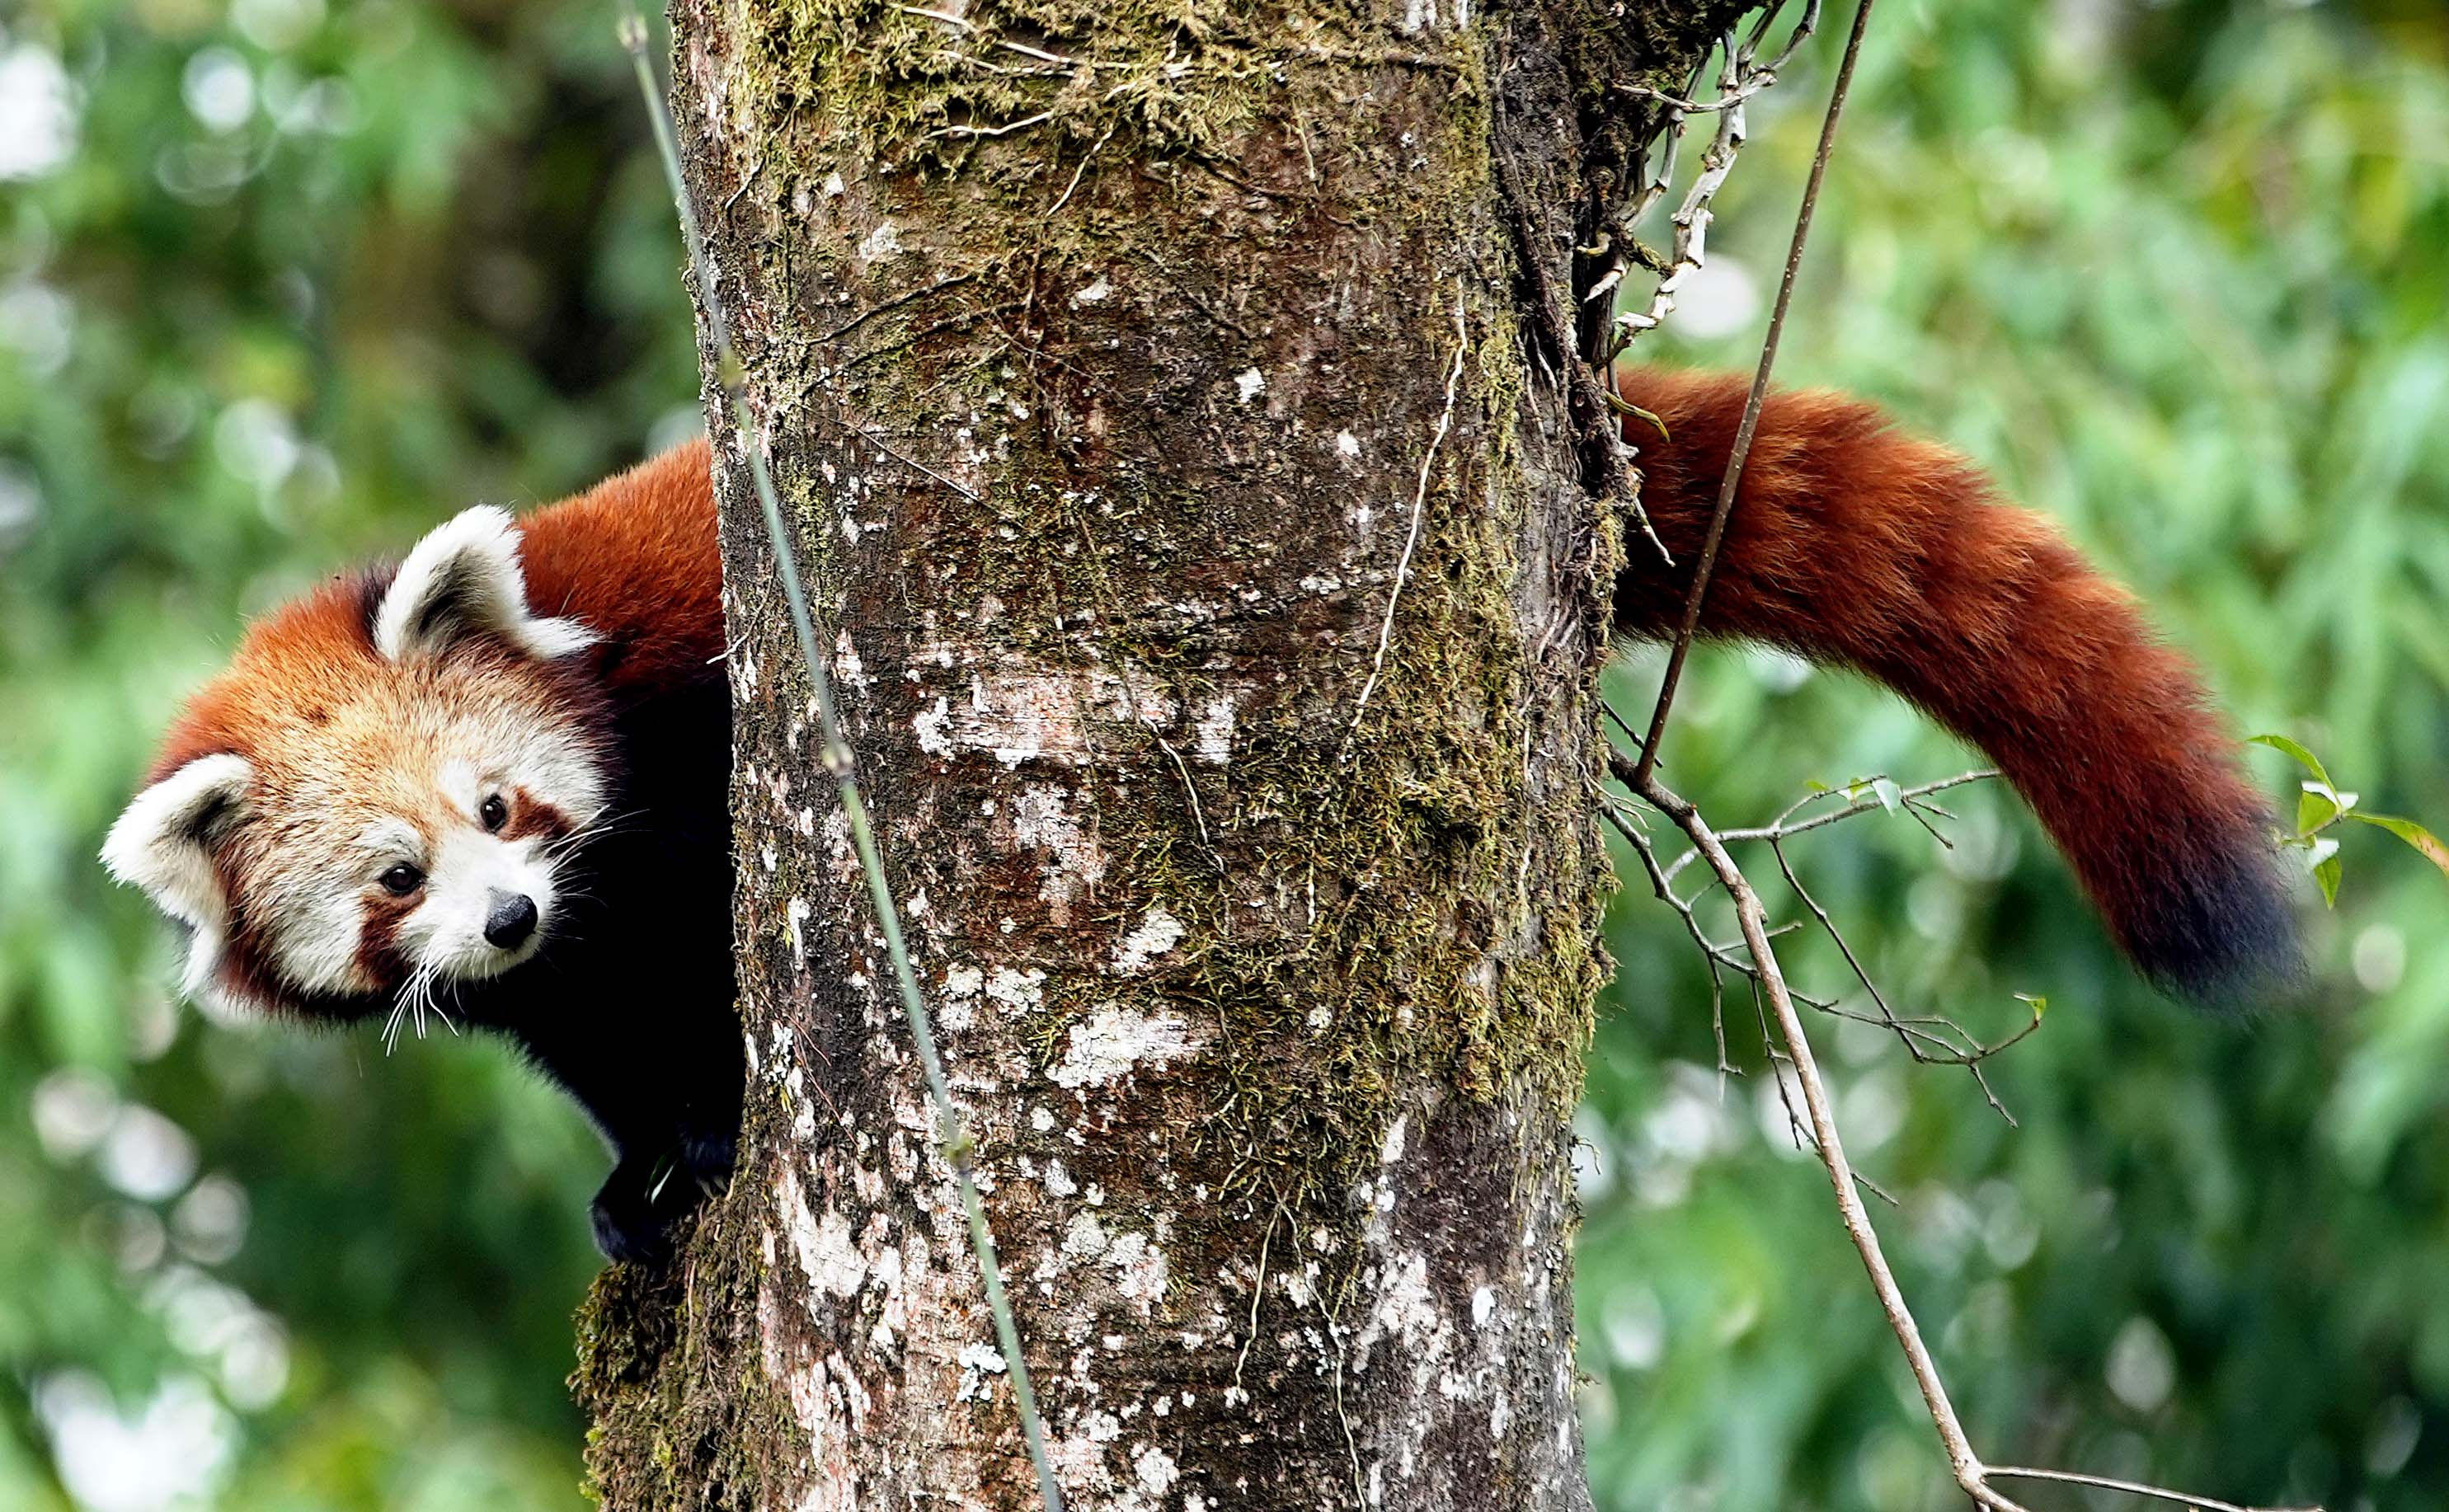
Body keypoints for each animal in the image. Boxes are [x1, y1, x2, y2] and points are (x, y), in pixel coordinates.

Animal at [105, 374, 2292, 1262]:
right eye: (401, 876)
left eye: (503, 805)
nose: (501, 920)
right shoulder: (570, 977)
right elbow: (606, 1048)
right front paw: (640, 1180)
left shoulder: (687, 750)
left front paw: (708, 1142)